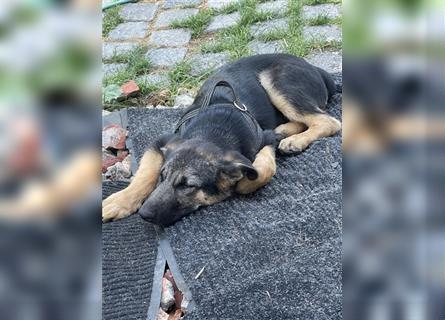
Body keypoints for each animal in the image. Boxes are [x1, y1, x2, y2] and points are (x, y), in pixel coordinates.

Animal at [103, 53, 340, 226]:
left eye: (188, 186)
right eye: (163, 176)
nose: (143, 214)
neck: (215, 129)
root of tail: (316, 69)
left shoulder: (264, 137)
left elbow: (263, 168)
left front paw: (244, 183)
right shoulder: (163, 140)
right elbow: (144, 174)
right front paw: (120, 201)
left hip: (277, 82)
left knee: (329, 121)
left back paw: (295, 140)